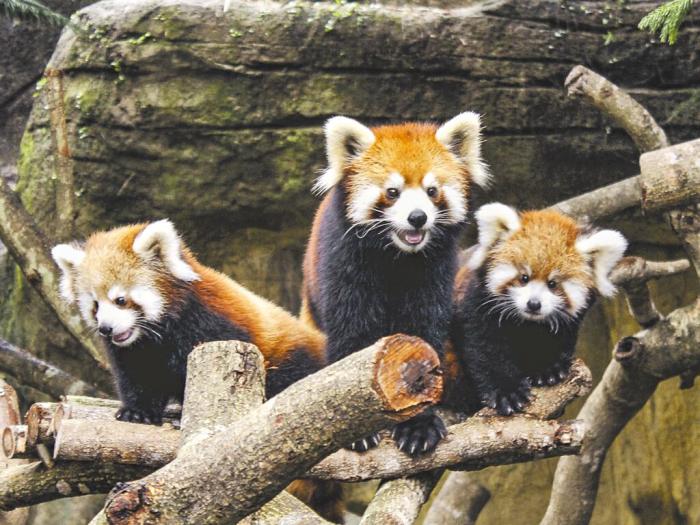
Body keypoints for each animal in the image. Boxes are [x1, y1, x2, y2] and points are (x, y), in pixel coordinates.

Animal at [300, 114, 486, 454]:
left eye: (431, 190)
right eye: (392, 192)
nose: (417, 217)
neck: (397, 258)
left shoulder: (433, 274)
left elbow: (423, 340)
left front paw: (418, 425)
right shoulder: (344, 267)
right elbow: (351, 336)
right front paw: (355, 428)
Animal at [454, 204, 628, 414]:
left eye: (552, 284)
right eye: (524, 278)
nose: (534, 304)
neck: (527, 323)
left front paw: (548, 369)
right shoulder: (478, 304)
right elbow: (484, 347)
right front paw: (507, 391)